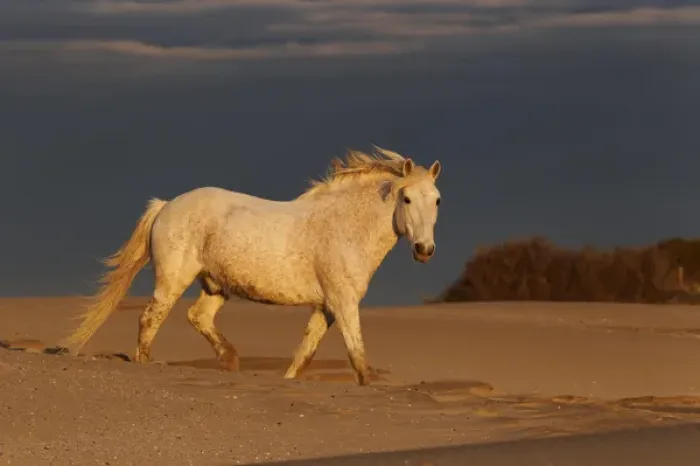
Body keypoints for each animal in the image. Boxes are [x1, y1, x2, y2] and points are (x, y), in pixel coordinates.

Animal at [60, 146, 442, 385]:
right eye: (406, 198)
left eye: (437, 200)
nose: (424, 250)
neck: (344, 226)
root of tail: (167, 205)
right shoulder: (343, 304)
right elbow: (358, 360)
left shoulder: (326, 308)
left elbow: (304, 354)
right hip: (173, 280)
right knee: (150, 319)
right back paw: (148, 363)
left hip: (216, 285)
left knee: (197, 316)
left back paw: (230, 361)